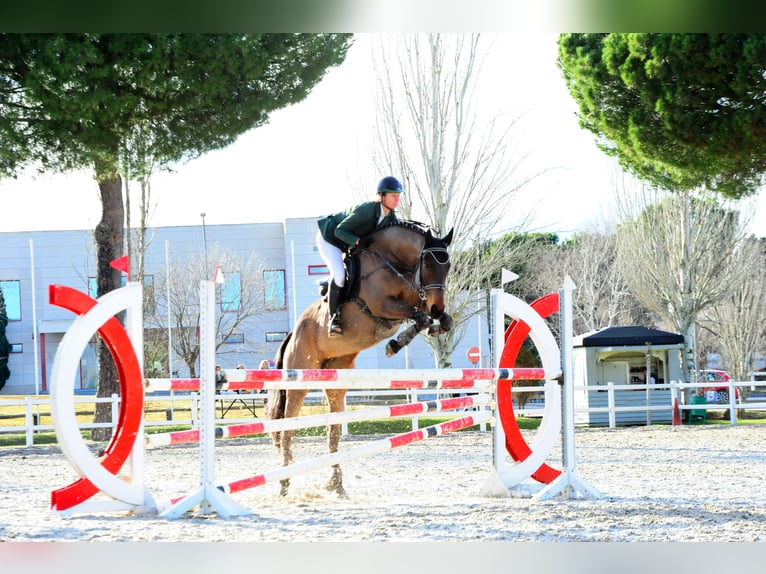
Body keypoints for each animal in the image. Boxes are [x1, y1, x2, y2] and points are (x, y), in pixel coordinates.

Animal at [268, 220, 452, 500]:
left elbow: (437, 319)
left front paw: (433, 327)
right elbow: (419, 317)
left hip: (335, 382)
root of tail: (292, 333)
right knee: (288, 429)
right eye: (429, 264)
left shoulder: (415, 298)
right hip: (300, 379)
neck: (391, 262)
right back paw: (284, 484)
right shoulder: (383, 305)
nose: (437, 307)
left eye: (448, 266)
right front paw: (395, 344)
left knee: (332, 432)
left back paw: (336, 484)